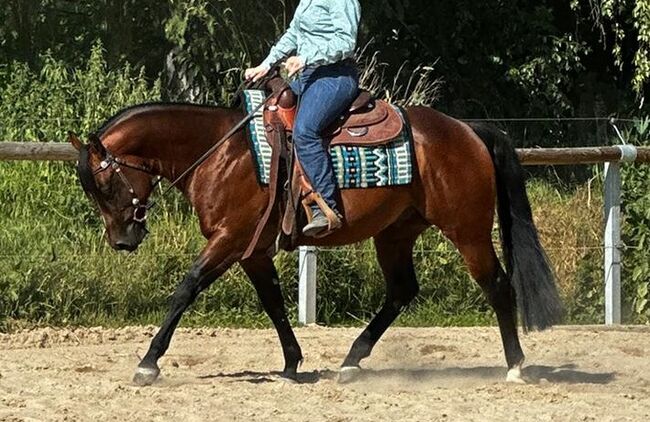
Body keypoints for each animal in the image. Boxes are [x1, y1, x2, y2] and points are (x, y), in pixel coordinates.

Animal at [68, 98, 560, 386]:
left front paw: (148, 362)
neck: (222, 153)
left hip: (468, 231)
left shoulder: (229, 241)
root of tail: (466, 129)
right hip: (396, 233)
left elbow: (186, 289)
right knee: (401, 291)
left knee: (497, 285)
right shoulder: (252, 251)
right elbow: (273, 302)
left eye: (104, 185)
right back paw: (351, 361)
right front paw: (291, 363)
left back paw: (516, 366)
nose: (122, 240)